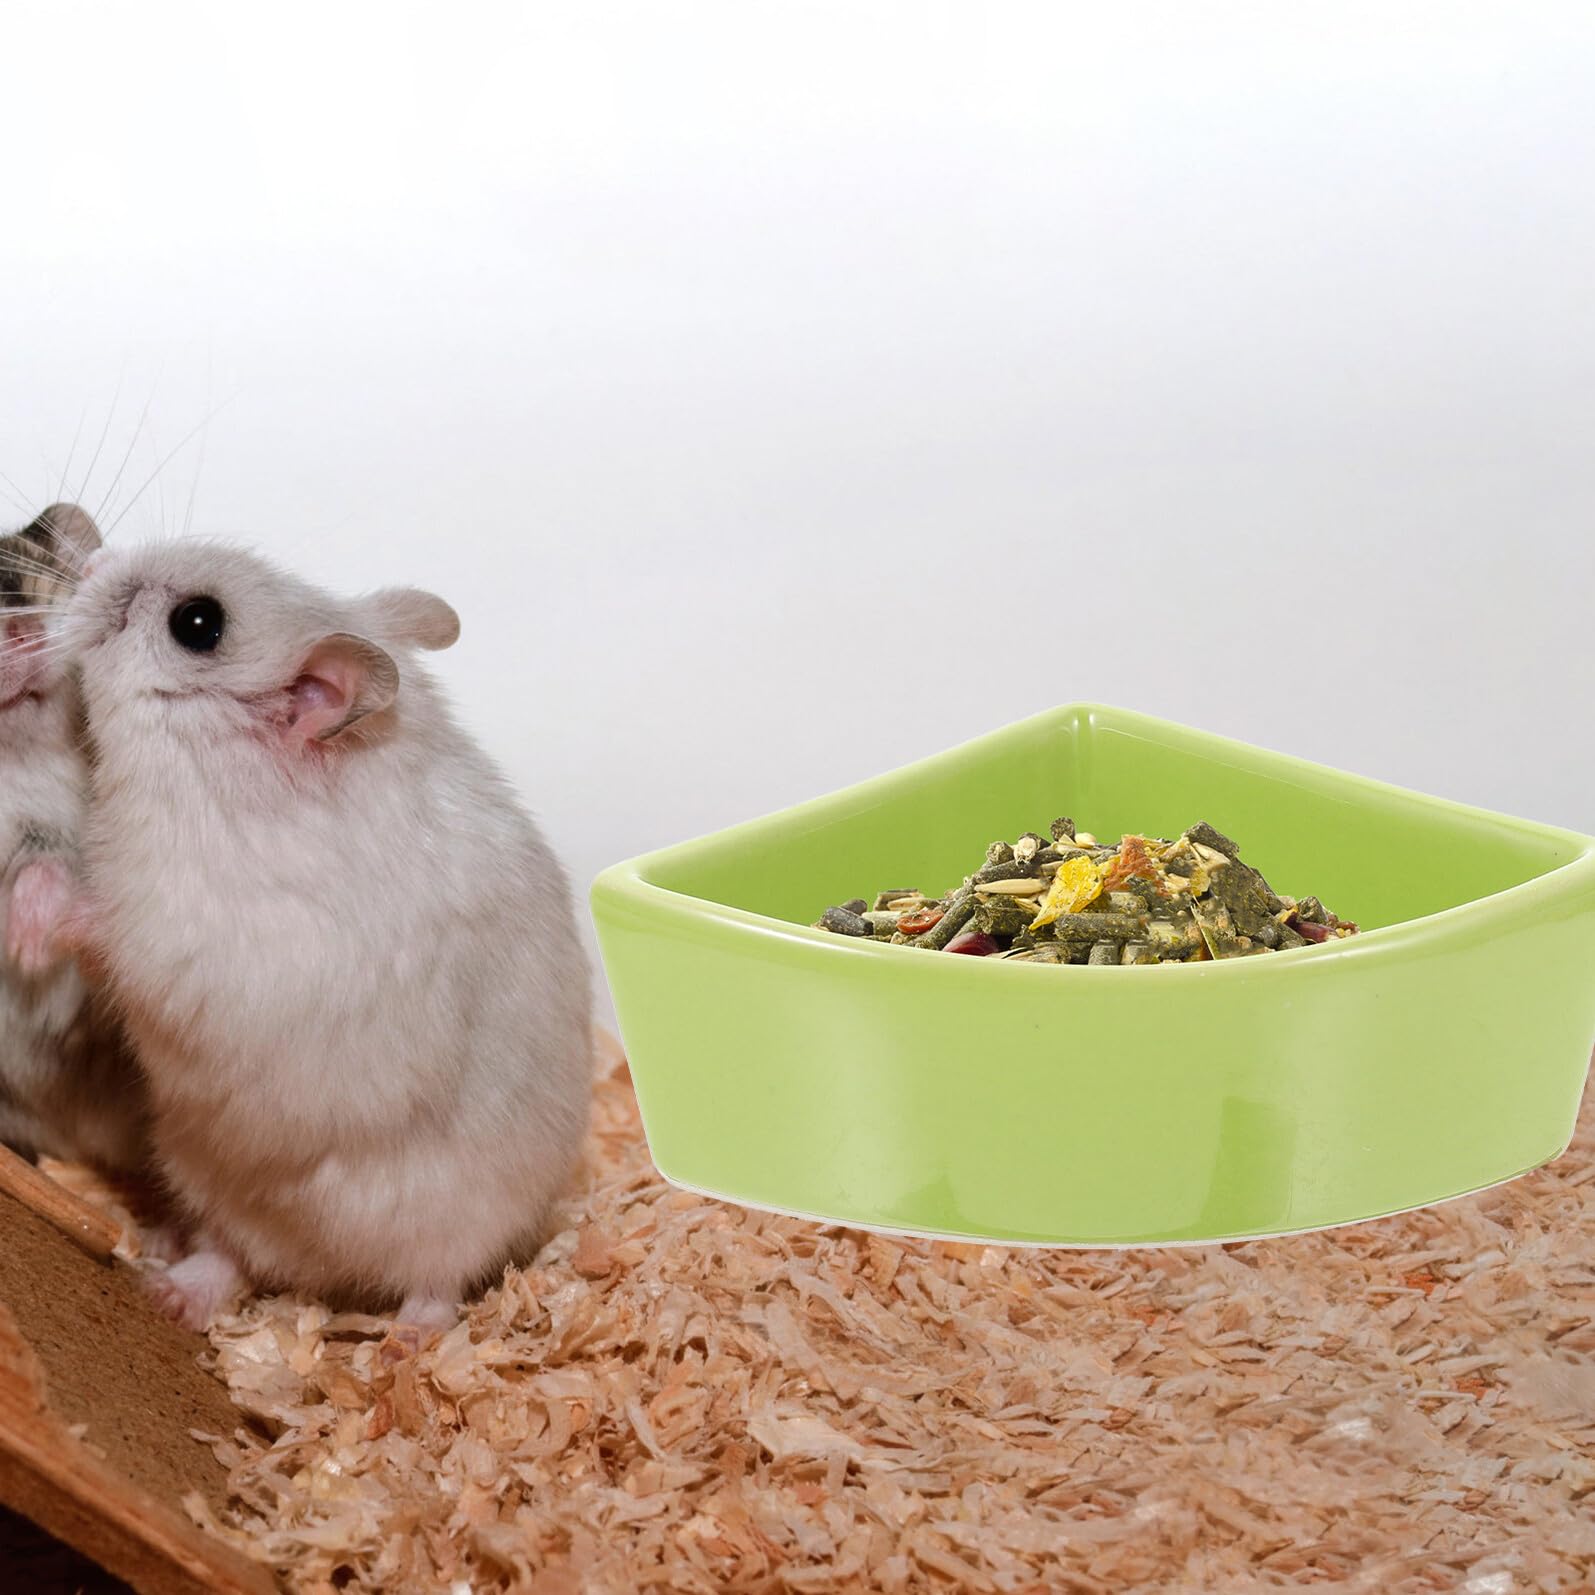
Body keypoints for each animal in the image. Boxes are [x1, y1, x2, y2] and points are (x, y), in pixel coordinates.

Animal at [54, 539, 593, 1330]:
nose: (91, 564)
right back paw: (169, 1290)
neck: (212, 771)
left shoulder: (198, 941)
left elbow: (110, 929)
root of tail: (325, 1271)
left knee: (437, 1282)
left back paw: (409, 1343)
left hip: (462, 1215)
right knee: (225, 1252)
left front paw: (32, 901)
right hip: (205, 1171)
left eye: (197, 624)